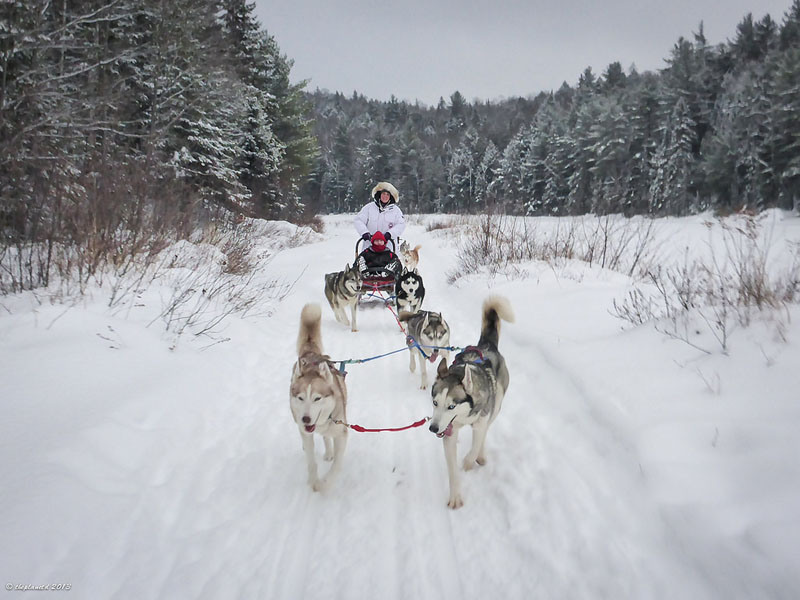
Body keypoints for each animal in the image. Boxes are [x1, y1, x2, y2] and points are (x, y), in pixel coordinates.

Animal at [290, 304, 346, 492]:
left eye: (317, 398)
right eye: (300, 398)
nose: (306, 419)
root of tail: (311, 353)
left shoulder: (341, 433)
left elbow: (337, 466)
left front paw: (325, 484)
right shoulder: (306, 433)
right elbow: (311, 461)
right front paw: (314, 481)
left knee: (326, 436)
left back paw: (328, 452)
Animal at [428, 294, 516, 506]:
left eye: (451, 406)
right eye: (435, 403)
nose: (433, 428)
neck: (463, 417)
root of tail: (486, 345)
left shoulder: (479, 422)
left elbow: (474, 448)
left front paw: (468, 463)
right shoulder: (449, 433)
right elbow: (452, 470)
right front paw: (455, 497)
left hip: (495, 407)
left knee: (484, 434)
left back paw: (480, 456)